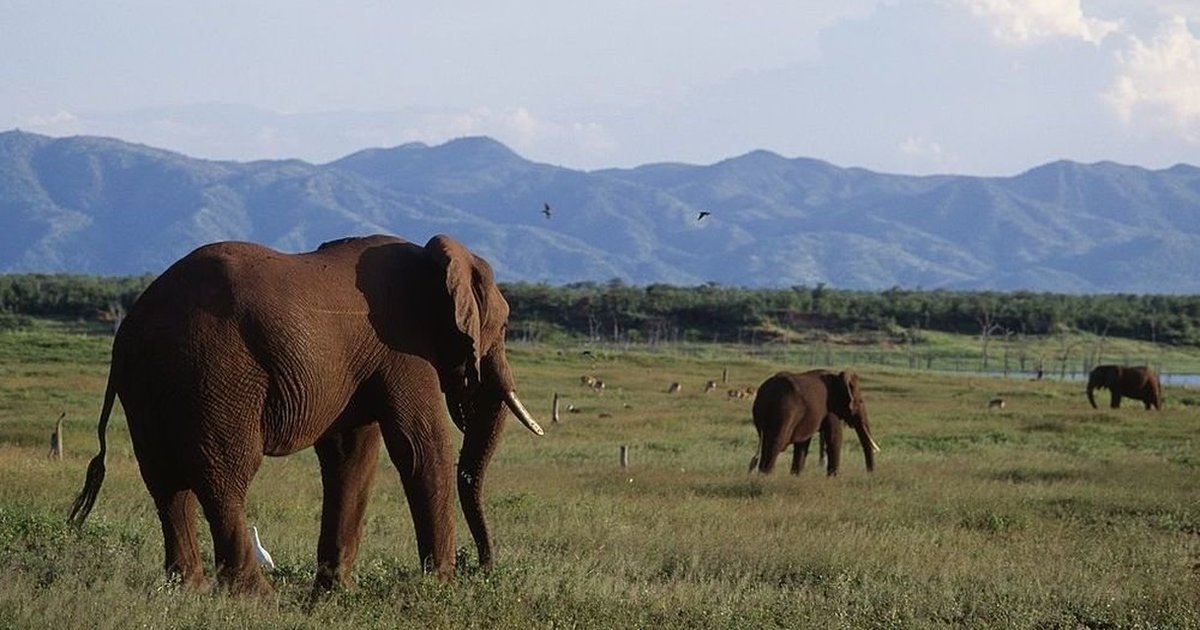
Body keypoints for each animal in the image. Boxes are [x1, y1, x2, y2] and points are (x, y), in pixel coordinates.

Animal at [68, 231, 547, 595]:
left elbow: (351, 456)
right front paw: (440, 589)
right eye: (505, 327)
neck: (433, 259)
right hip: (215, 372)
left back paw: (188, 591)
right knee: (224, 476)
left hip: (154, 387)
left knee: (166, 485)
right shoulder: (404, 349)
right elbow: (419, 446)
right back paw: (256, 598)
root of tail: (129, 330)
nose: (480, 566)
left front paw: (338, 593)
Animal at [748, 364, 883, 475]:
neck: (838, 378)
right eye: (860, 402)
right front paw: (833, 478)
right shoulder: (831, 408)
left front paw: (795, 477)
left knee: (766, 444)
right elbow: (835, 438)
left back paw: (761, 476)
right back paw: (766, 477)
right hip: (785, 411)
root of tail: (766, 393)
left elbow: (802, 444)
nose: (869, 474)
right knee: (776, 444)